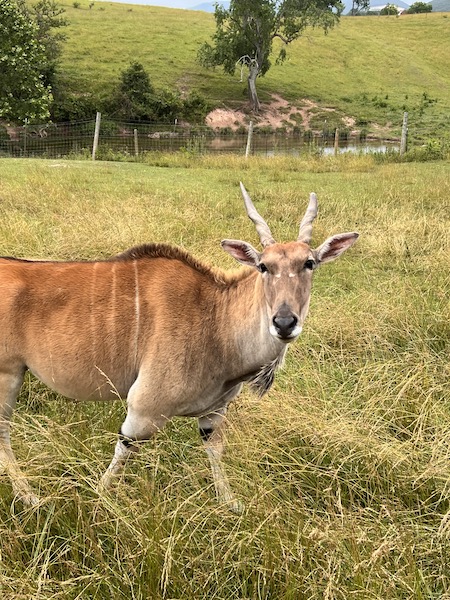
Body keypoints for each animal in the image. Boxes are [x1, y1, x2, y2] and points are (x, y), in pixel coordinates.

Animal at [0, 183, 358, 510]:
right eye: (263, 266)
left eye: (309, 263)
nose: (284, 322)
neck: (215, 317)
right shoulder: (144, 409)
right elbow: (123, 450)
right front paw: (98, 498)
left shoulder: (214, 413)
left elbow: (215, 452)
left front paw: (230, 503)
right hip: (8, 375)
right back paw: (28, 495)